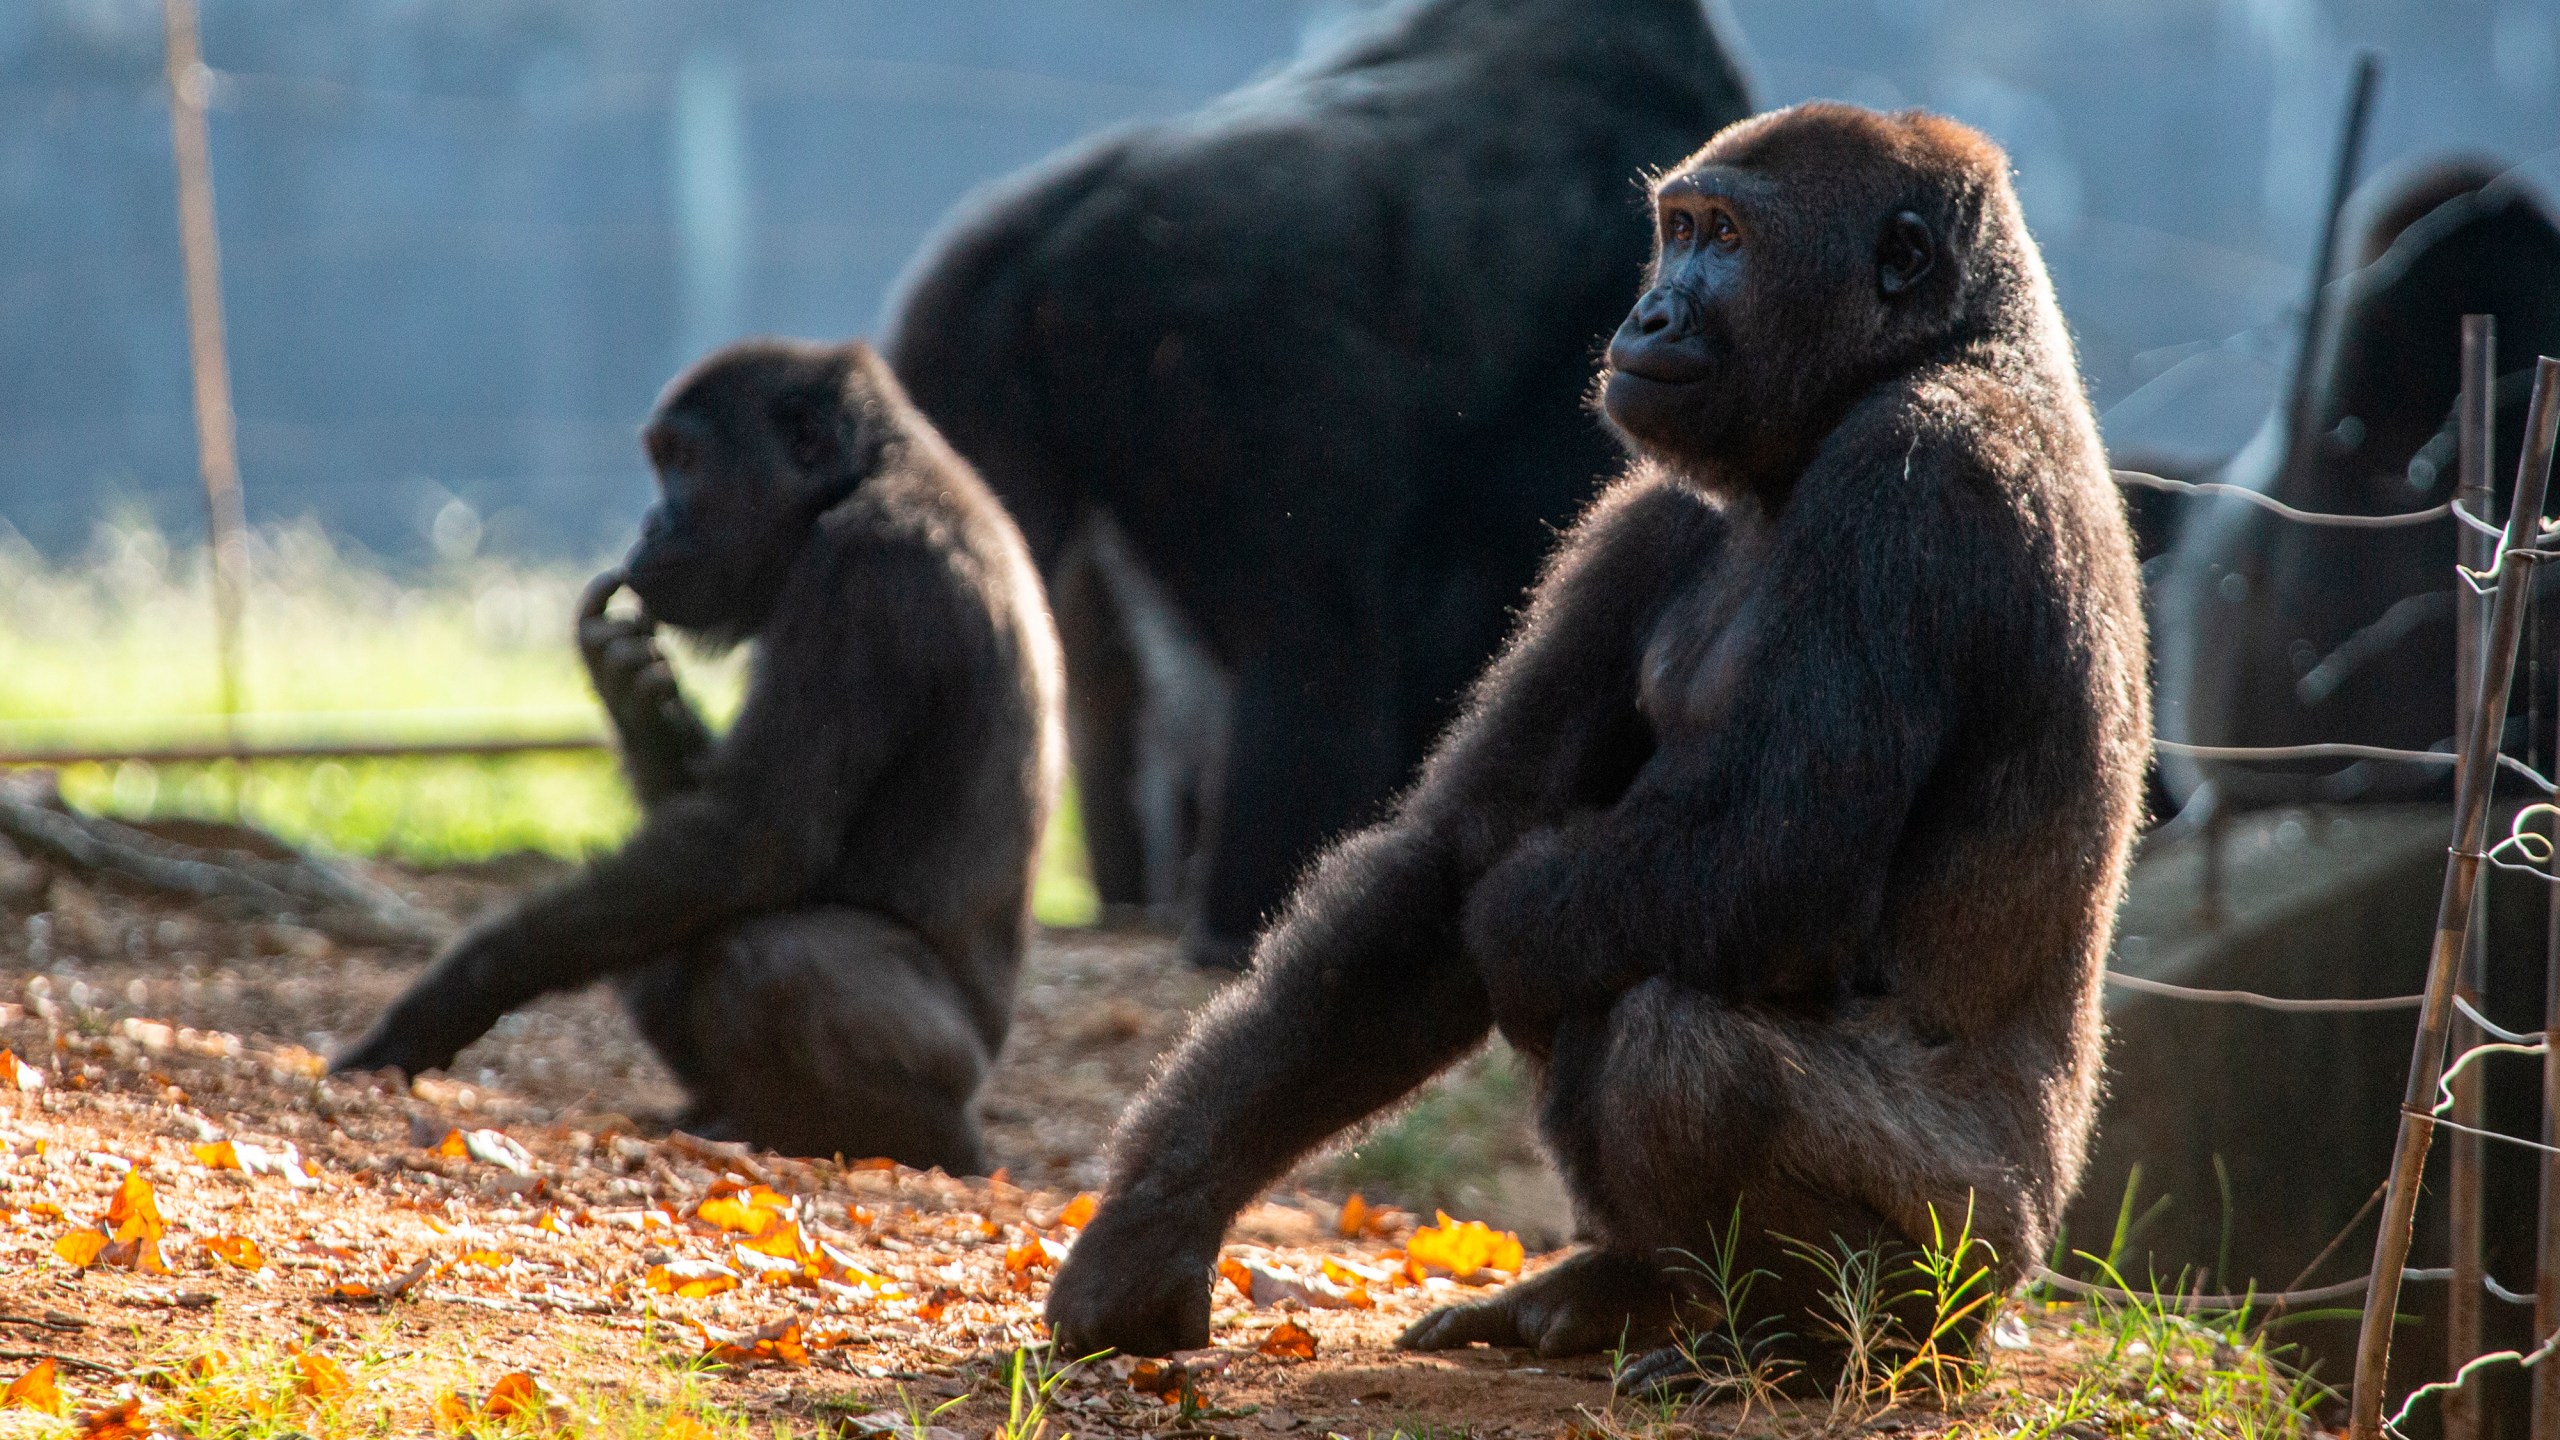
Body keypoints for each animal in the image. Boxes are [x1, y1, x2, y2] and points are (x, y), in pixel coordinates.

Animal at [330, 340, 1059, 1173]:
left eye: (685, 460)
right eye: (662, 463)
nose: (653, 522)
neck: (867, 473)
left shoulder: (866, 571)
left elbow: (751, 841)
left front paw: (448, 999)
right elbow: (701, 834)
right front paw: (632, 695)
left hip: (961, 1078)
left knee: (775, 956)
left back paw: (902, 1137)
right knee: (659, 935)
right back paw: (730, 1111)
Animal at [1049, 103, 2150, 1383]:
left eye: (1726, 239)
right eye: (1676, 231)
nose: (1649, 316)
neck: (1942, 350)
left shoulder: (1915, 482)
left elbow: (1751, 868)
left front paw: (1518, 919)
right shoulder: (1646, 513)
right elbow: (1444, 861)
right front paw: (1153, 1226)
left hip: (1980, 1249)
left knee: (1673, 1048)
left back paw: (1819, 1337)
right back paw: (1628, 1290)